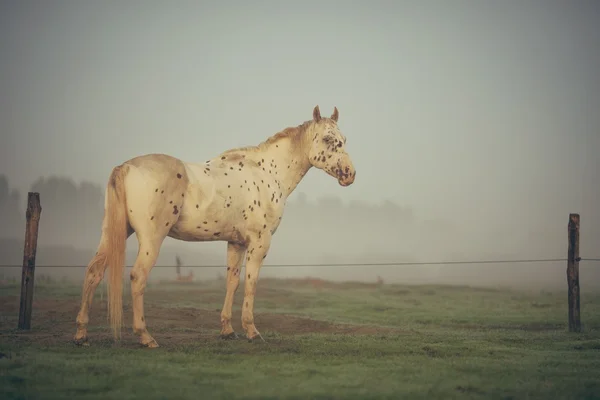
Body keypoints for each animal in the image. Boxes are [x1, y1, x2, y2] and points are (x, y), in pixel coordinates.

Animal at [74, 105, 356, 346]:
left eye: (343, 139)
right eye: (328, 139)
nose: (349, 173)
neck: (266, 172)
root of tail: (125, 167)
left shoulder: (236, 243)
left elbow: (232, 282)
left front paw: (227, 330)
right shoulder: (259, 243)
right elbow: (251, 283)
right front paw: (252, 331)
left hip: (114, 234)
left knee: (93, 272)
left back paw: (81, 334)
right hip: (151, 239)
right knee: (137, 277)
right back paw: (145, 337)